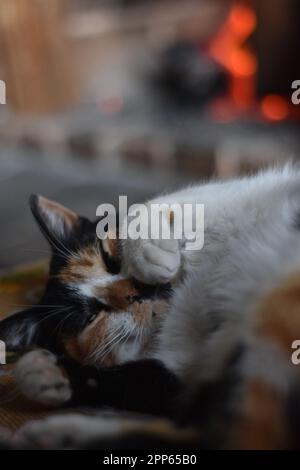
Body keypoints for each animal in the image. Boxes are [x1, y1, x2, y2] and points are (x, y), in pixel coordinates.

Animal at [2, 166, 300, 448]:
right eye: (90, 317)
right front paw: (45, 371)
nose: (137, 290)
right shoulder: (180, 372)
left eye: (109, 259)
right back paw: (58, 434)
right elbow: (135, 382)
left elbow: (159, 203)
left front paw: (149, 252)